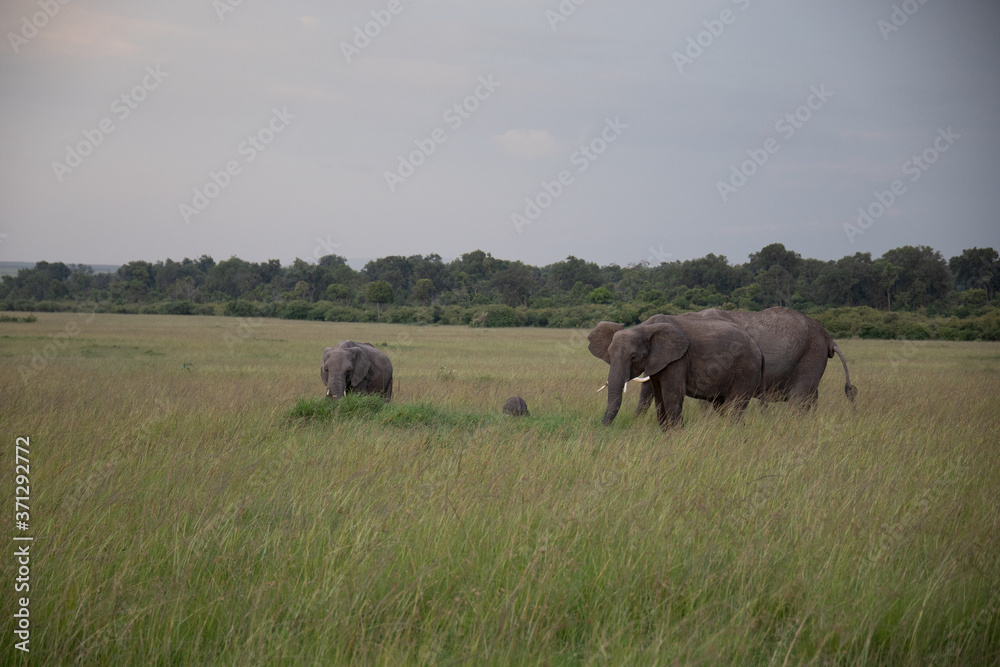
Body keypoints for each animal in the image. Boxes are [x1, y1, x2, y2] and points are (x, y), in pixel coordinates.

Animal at [588, 314, 760, 428]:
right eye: (609, 354)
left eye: (634, 357)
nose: (602, 426)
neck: (644, 328)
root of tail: (756, 345)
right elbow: (659, 396)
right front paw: (665, 432)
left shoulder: (678, 359)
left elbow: (672, 393)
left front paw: (677, 434)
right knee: (723, 407)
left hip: (746, 369)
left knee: (735, 405)